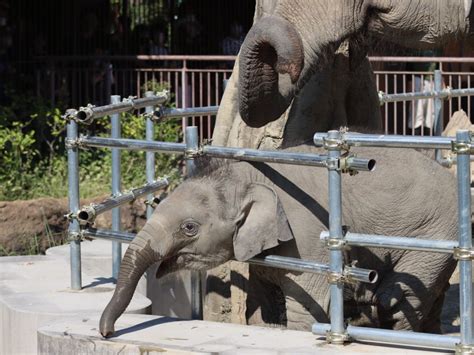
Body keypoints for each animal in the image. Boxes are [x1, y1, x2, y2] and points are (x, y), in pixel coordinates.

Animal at [101, 146, 460, 338]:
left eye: (189, 228)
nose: (107, 332)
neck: (249, 176)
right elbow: (266, 300)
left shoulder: (307, 238)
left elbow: (307, 306)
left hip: (434, 232)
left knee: (395, 301)